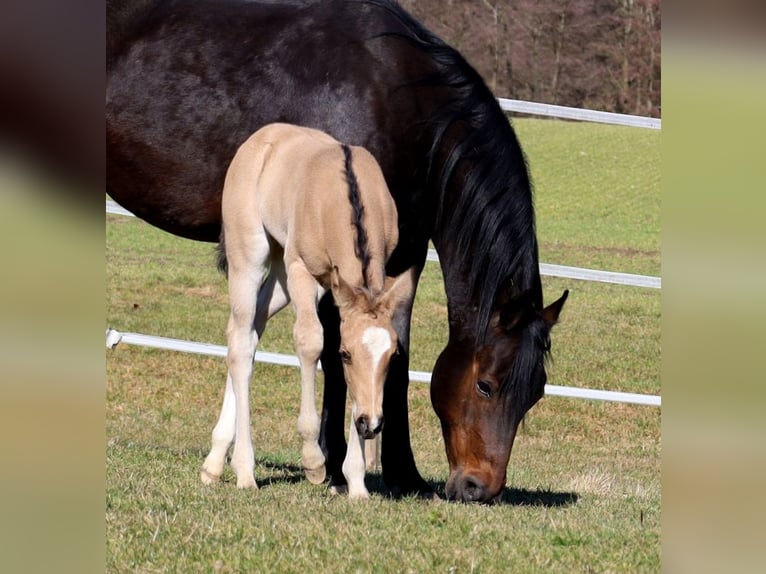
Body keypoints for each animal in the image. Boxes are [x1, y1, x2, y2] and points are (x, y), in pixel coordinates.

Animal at [201, 123, 415, 499]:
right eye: (346, 354)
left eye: (392, 357)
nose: (371, 424)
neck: (344, 196)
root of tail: (262, 137)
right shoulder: (302, 270)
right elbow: (311, 342)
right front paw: (314, 461)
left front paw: (356, 482)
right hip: (252, 258)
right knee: (241, 342)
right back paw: (244, 469)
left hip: (281, 275)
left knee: (246, 333)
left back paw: (214, 463)